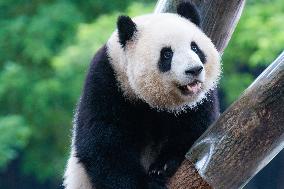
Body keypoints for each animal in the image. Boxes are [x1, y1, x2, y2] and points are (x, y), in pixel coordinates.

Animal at [63, 1, 221, 189]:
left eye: (195, 47)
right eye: (167, 54)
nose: (194, 70)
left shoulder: (198, 101)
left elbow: (196, 128)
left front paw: (162, 166)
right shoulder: (107, 82)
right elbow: (102, 142)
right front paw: (146, 182)